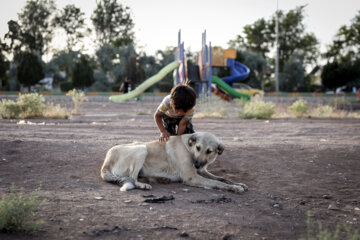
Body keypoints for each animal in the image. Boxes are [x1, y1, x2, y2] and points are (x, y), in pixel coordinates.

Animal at [100, 131, 248, 193]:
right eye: (198, 147)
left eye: (209, 151)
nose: (196, 164)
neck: (189, 148)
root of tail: (105, 164)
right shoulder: (191, 177)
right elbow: (217, 183)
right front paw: (235, 188)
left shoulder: (202, 172)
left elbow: (222, 178)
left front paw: (238, 183)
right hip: (141, 148)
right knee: (132, 178)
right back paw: (143, 185)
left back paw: (159, 179)